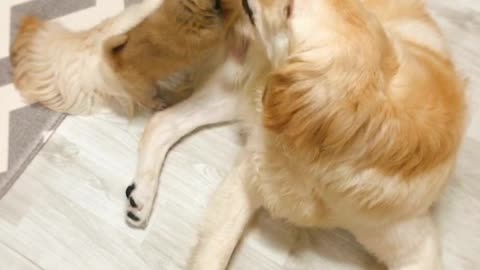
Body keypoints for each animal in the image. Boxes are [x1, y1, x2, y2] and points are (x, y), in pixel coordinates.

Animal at [124, 0, 464, 268]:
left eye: (289, 11)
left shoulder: (413, 243)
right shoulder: (250, 173)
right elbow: (217, 248)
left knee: (162, 122)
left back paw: (141, 197)